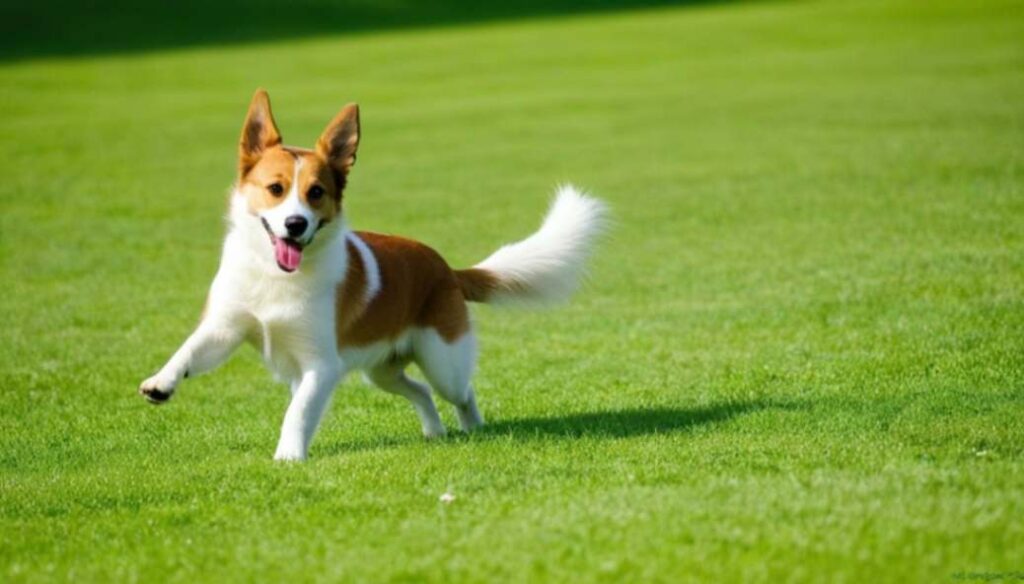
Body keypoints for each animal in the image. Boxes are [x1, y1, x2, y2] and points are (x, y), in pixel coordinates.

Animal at [142, 89, 606, 459]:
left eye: (316, 193)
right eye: (275, 189)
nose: (295, 224)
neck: (277, 278)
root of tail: (447, 269)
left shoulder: (321, 366)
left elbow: (298, 412)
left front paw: (288, 458)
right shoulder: (226, 327)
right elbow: (190, 349)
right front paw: (160, 383)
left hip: (443, 361)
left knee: (460, 391)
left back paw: (472, 426)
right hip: (381, 371)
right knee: (420, 391)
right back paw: (434, 432)